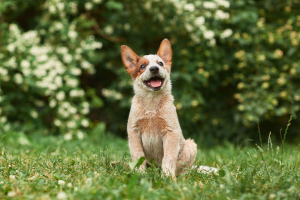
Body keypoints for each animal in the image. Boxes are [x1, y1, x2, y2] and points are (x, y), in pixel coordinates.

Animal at [120, 39, 198, 180]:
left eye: (160, 63)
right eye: (142, 66)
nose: (154, 68)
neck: (151, 105)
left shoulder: (170, 132)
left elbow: (168, 158)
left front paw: (168, 178)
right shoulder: (134, 131)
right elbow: (138, 155)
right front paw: (139, 174)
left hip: (191, 145)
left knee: (182, 170)